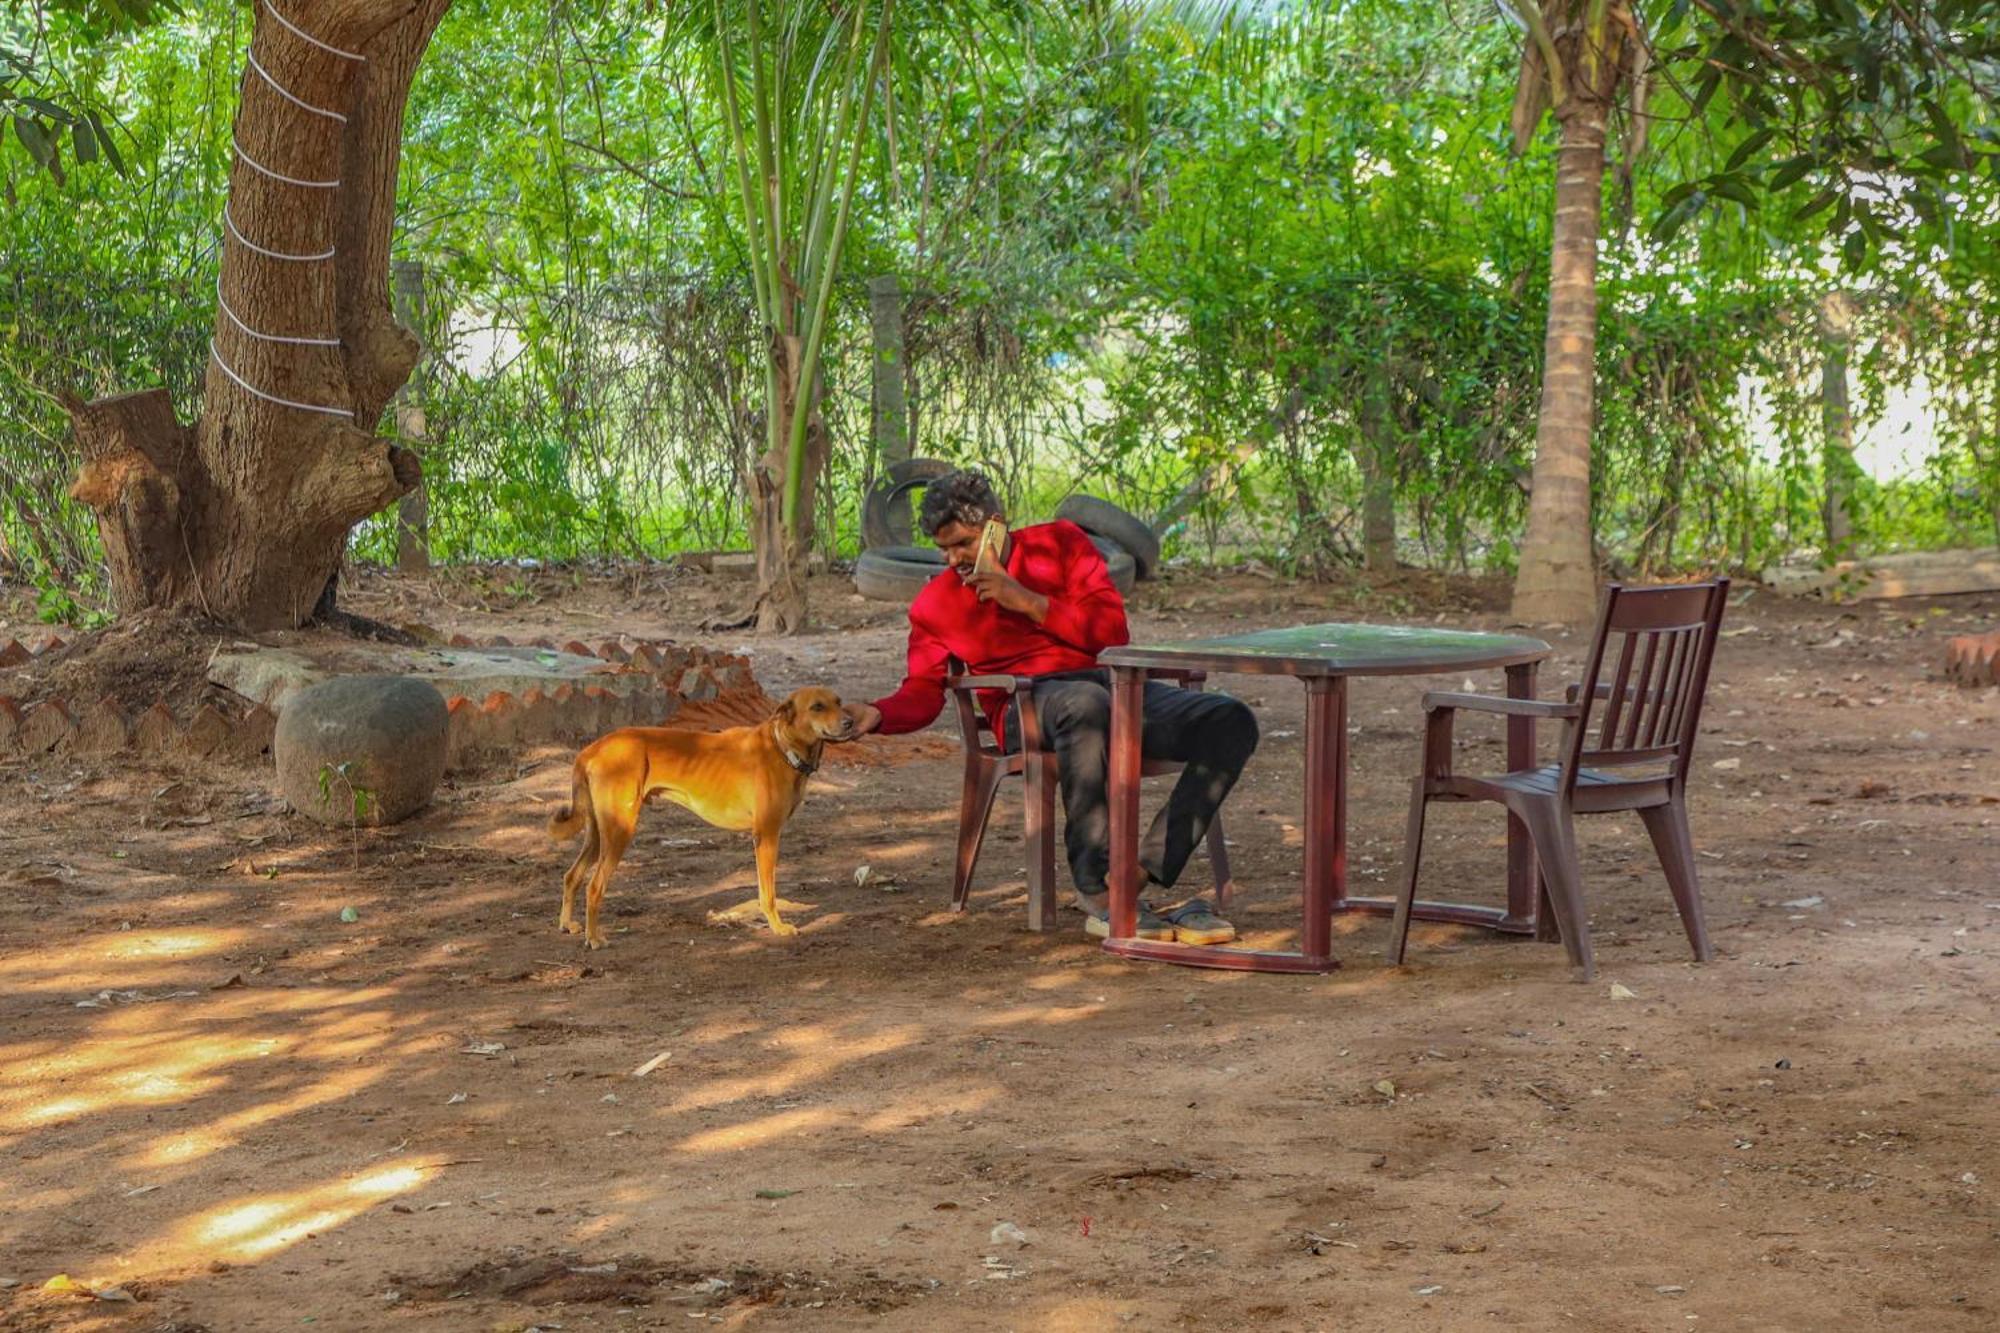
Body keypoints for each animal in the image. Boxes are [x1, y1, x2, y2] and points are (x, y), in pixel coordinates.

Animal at [552, 684, 856, 944]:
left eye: (839, 702)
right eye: (817, 706)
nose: (850, 723)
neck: (782, 748)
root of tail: (592, 749)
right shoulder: (767, 835)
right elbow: (767, 893)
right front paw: (777, 927)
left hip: (598, 835)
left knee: (571, 876)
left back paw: (567, 924)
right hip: (618, 832)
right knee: (594, 887)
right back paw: (594, 938)